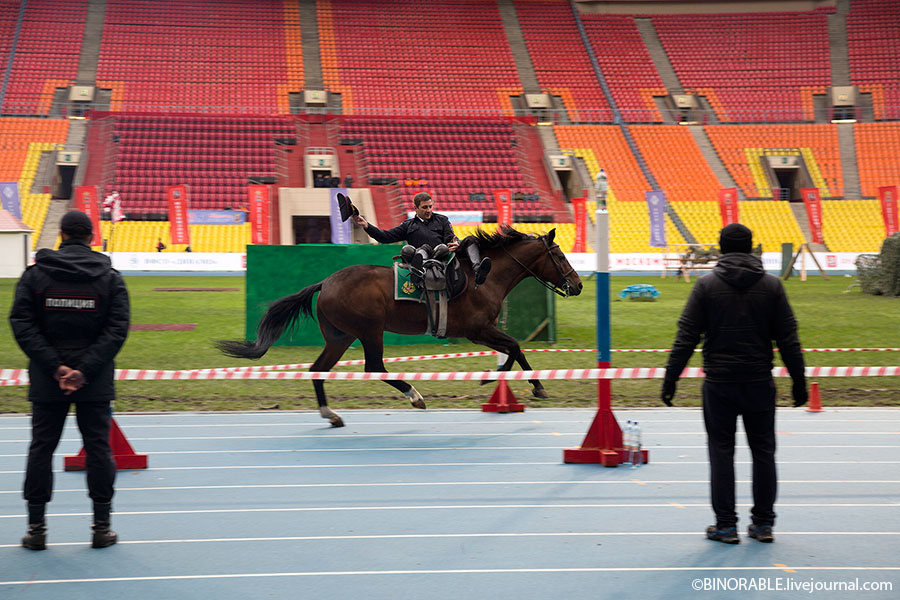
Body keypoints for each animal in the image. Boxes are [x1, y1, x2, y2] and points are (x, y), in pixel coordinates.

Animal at [217, 225, 584, 426]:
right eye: (560, 256)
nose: (578, 285)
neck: (484, 274)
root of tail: (326, 282)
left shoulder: (481, 332)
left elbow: (514, 349)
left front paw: (525, 383)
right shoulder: (477, 331)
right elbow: (514, 347)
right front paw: (504, 379)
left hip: (340, 336)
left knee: (317, 369)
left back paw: (330, 415)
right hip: (369, 331)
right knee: (374, 366)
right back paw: (414, 395)